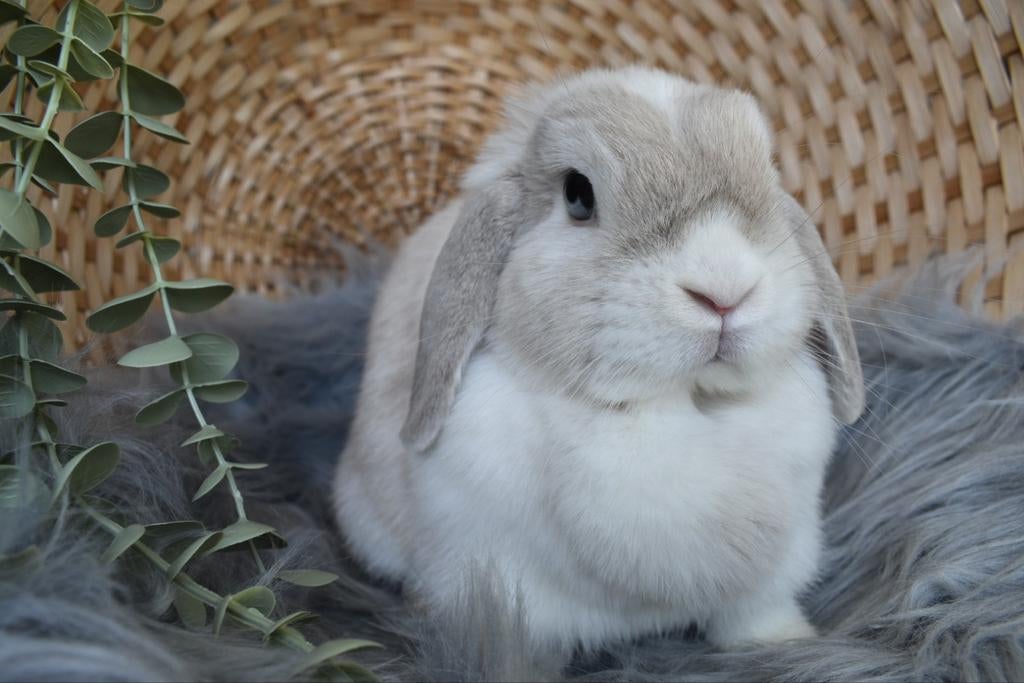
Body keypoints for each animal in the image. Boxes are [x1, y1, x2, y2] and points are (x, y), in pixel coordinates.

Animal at [333, 66, 864, 652]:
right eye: (578, 194)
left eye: (768, 175)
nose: (726, 290)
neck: (677, 404)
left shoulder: (769, 577)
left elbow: (757, 613)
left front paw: (785, 642)